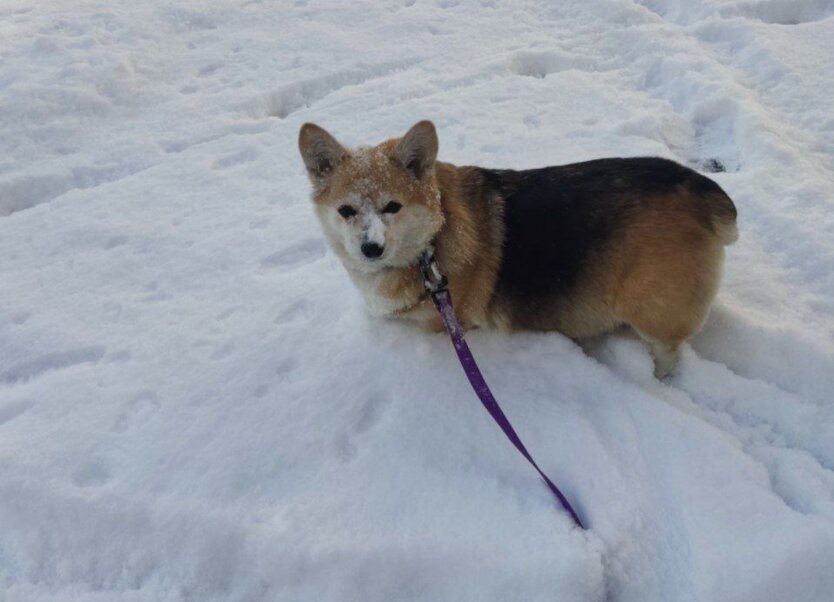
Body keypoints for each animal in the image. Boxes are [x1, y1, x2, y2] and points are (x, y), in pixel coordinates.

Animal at [298, 119, 736, 378]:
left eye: (393, 206)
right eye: (346, 211)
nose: (370, 249)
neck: (430, 245)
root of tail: (704, 190)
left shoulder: (445, 326)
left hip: (650, 308)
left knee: (668, 350)